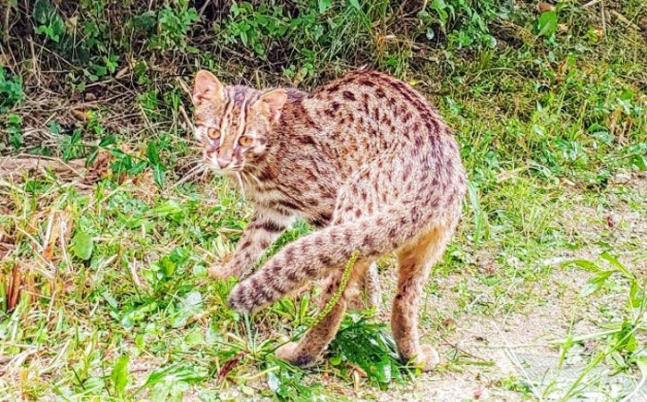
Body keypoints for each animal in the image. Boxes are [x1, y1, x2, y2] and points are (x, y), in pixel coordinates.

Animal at [192, 69, 466, 370]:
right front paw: (225, 274)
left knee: (335, 300)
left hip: (353, 205)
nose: (222, 161)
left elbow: (364, 274)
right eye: (214, 132)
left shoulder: (324, 206)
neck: (272, 146)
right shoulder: (273, 212)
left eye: (245, 140)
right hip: (426, 245)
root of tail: (435, 181)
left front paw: (367, 303)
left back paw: (297, 355)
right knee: (405, 301)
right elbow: (248, 246)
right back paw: (413, 357)